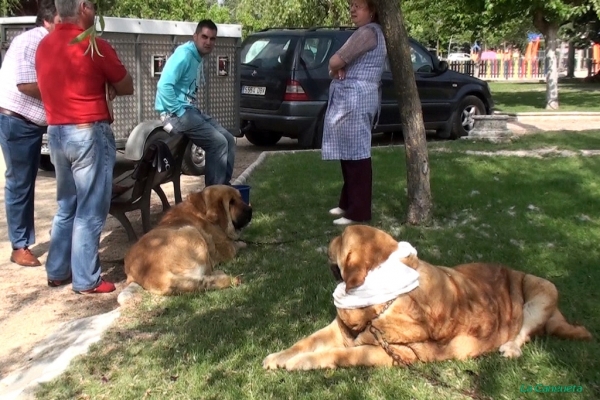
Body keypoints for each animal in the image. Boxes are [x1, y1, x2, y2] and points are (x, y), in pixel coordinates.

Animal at [262, 223, 592, 370]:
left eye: (341, 238)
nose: (329, 237)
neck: (379, 303)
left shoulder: (392, 354)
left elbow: (342, 354)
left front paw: (300, 362)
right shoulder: (337, 330)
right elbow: (304, 341)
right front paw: (279, 357)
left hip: (543, 289)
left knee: (524, 331)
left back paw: (510, 347)